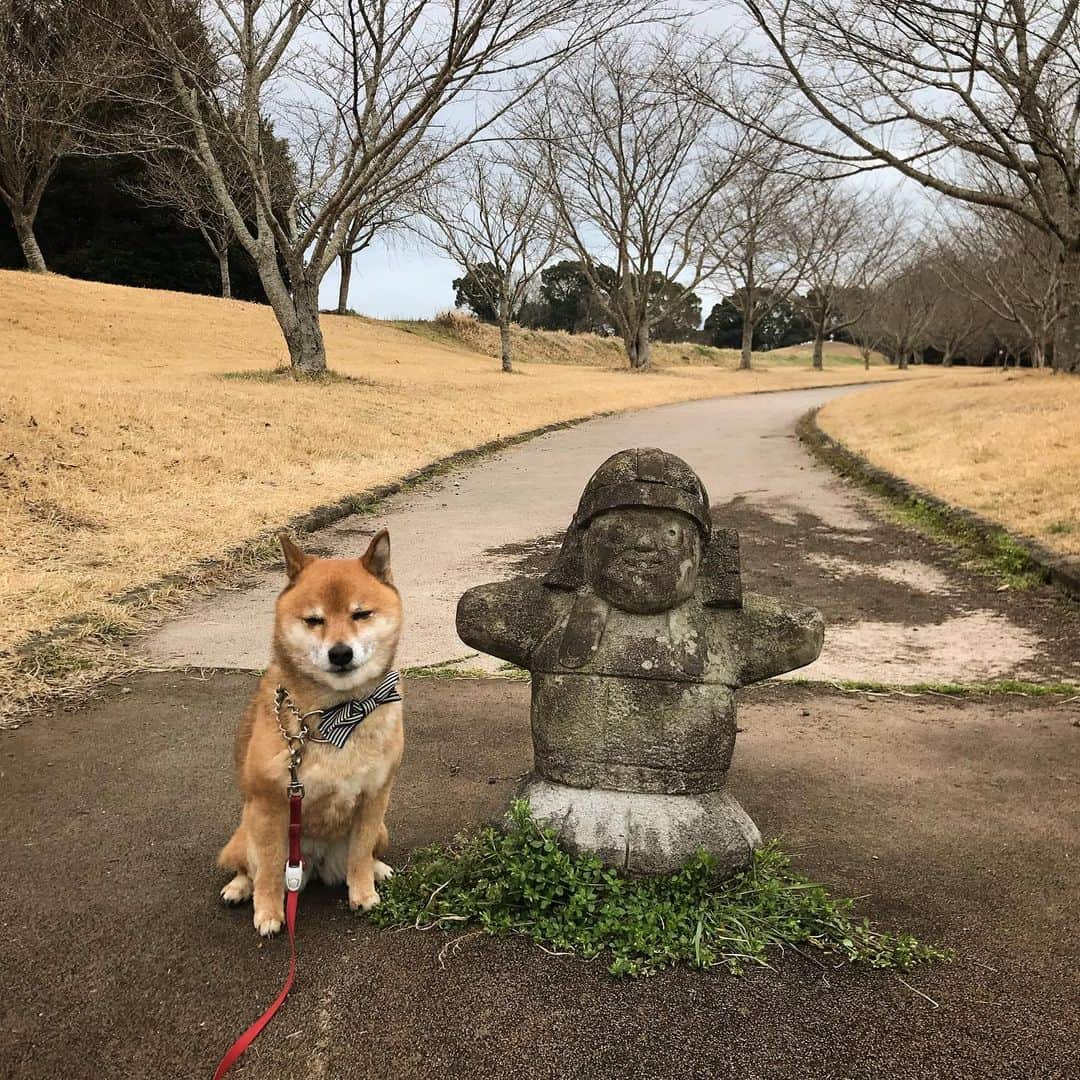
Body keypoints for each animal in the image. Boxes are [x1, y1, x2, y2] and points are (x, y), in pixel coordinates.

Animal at [217, 531, 403, 937]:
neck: (339, 713)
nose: (340, 653)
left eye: (360, 614)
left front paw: (363, 893)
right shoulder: (270, 806)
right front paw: (268, 913)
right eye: (314, 620)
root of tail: (315, 864)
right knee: (247, 866)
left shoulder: (375, 798)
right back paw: (238, 888)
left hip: (383, 830)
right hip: (247, 831)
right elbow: (269, 872)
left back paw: (378, 870)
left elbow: (360, 854)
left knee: (365, 853)